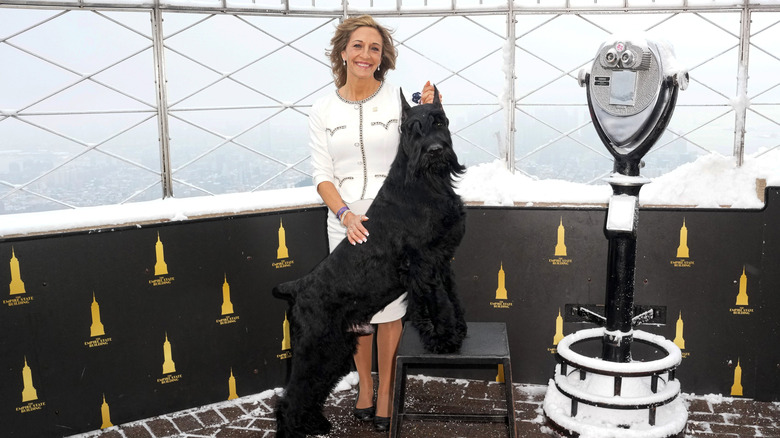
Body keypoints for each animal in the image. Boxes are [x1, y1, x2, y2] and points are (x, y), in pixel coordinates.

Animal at [272, 87, 466, 436]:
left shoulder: (441, 260)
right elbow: (436, 303)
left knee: (313, 388)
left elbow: (451, 297)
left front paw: (457, 329)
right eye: (410, 128)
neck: (425, 182)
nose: (435, 151)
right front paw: (444, 339)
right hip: (314, 346)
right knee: (290, 397)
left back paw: (316, 421)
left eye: (440, 121)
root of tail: (297, 287)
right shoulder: (423, 265)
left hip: (334, 347)